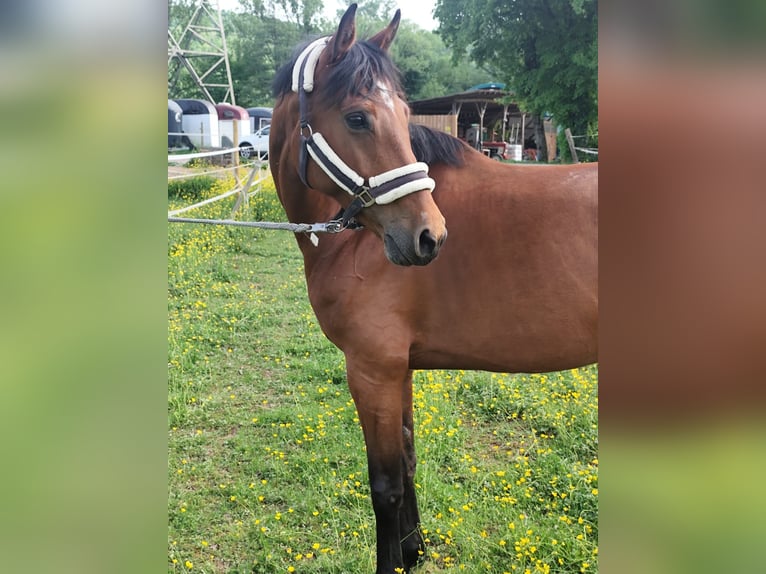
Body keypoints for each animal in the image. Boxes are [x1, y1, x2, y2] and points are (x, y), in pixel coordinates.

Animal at [268, 5, 598, 573]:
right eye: (358, 117)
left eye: (404, 114)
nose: (430, 237)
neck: (354, 240)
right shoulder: (396, 370)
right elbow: (408, 461)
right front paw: (414, 552)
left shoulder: (371, 371)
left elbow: (385, 486)